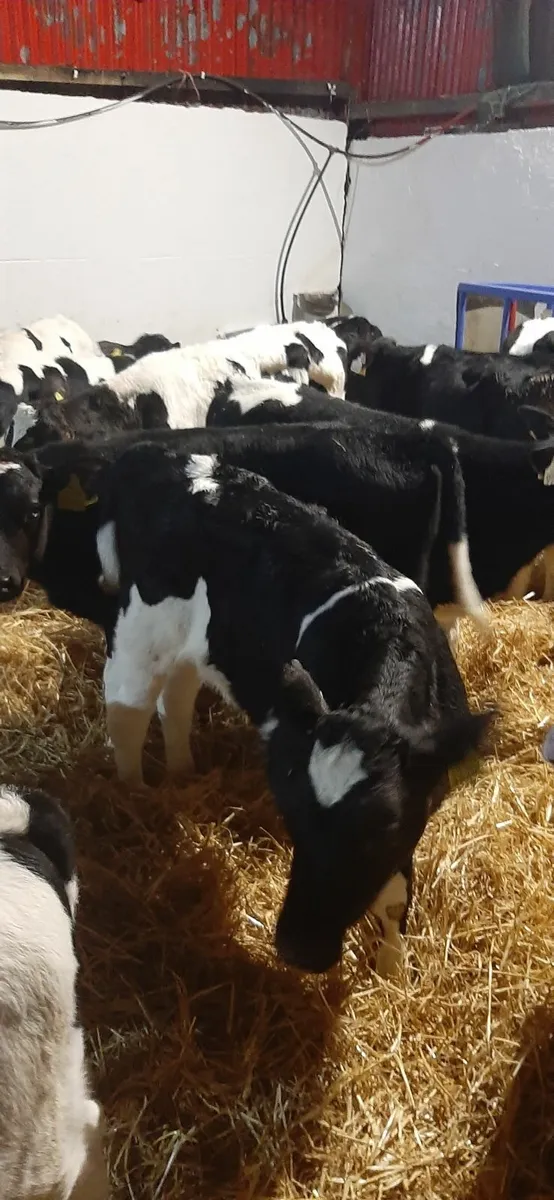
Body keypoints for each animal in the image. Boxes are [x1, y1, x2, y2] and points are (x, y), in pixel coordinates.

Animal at [93, 441, 492, 976]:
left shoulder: (420, 796)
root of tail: (159, 454)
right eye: (293, 816)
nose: (297, 948)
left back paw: (182, 772)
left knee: (175, 699)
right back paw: (135, 795)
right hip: (141, 631)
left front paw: (391, 967)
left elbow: (393, 893)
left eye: (379, 828)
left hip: (195, 644)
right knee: (127, 712)